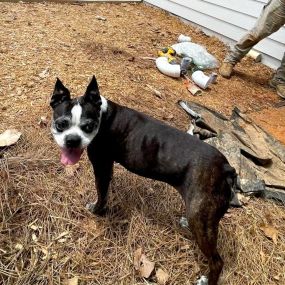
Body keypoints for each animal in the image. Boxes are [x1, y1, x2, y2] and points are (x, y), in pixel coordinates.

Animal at [50, 76, 235, 284]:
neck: (103, 116)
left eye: (88, 127)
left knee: (217, 262)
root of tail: (225, 167)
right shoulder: (108, 167)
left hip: (201, 218)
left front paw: (97, 210)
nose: (72, 140)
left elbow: (101, 195)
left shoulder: (101, 167)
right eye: (61, 124)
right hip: (201, 217)